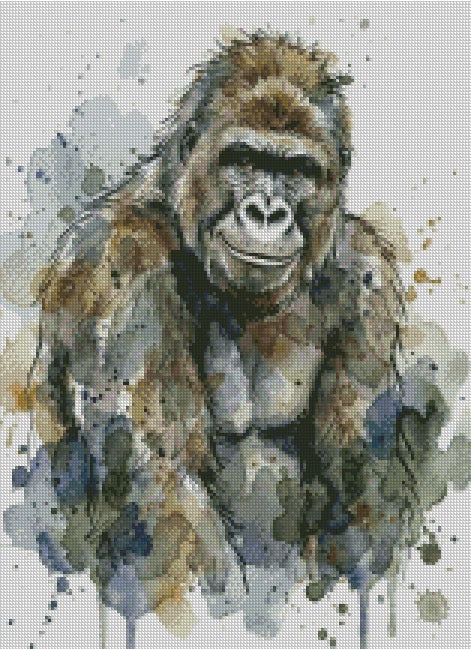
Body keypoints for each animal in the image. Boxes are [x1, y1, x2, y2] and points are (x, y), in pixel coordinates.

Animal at [10, 32, 449, 645]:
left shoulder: (367, 279)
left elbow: (365, 490)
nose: (265, 211)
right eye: (243, 160)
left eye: (297, 170)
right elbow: (168, 494)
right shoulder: (117, 262)